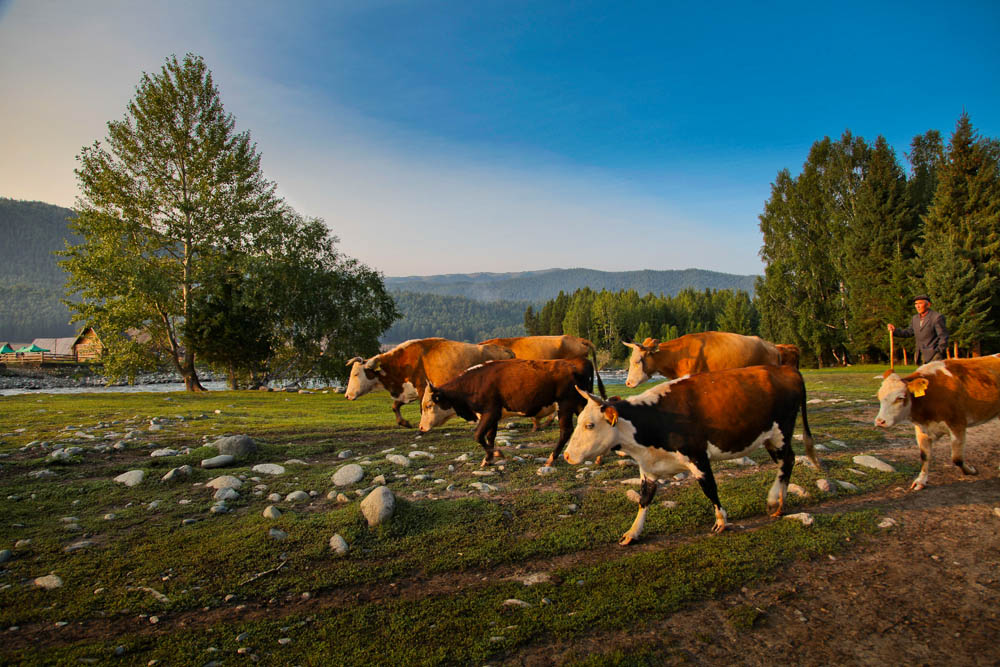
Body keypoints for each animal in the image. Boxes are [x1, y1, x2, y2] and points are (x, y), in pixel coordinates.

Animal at [346, 340, 516, 428]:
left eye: (356, 374)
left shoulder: (422, 388)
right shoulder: (409, 391)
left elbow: (422, 408)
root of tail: (505, 350)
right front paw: (404, 422)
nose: (347, 395)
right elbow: (395, 406)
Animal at [418, 358, 604, 468]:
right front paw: (488, 459)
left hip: (565, 405)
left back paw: (552, 458)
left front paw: (496, 454)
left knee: (566, 431)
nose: (420, 427)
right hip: (580, 404)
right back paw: (598, 457)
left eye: (428, 405)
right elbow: (490, 436)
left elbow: (478, 435)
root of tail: (578, 361)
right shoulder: (493, 416)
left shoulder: (490, 412)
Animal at [564, 366, 820, 544]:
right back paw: (779, 502)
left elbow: (710, 488)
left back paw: (775, 500)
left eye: (590, 425)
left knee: (787, 461)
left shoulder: (698, 457)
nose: (566, 455)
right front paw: (633, 533)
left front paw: (721, 520)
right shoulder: (648, 467)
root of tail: (786, 370)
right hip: (769, 438)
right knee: (787, 461)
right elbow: (644, 499)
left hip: (780, 433)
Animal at [872, 358, 996, 494]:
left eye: (900, 398)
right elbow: (924, 455)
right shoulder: (922, 429)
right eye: (879, 396)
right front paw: (921, 481)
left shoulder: (958, 424)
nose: (880, 421)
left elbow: (957, 458)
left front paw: (971, 471)